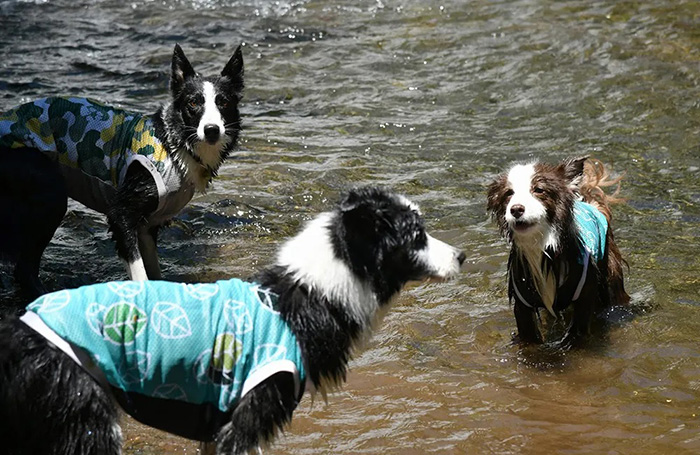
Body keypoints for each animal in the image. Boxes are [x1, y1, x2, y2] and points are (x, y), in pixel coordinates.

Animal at [0, 44, 243, 302]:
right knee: (24, 269)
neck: (173, 145)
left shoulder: (148, 226)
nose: (211, 130)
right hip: (49, 194)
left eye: (223, 103)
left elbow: (154, 273)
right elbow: (140, 274)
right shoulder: (121, 216)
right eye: (193, 104)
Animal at [1, 187, 470, 454]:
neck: (304, 297)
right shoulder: (246, 418)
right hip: (86, 418)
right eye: (416, 236)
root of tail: (19, 328)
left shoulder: (218, 424)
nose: (462, 255)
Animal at [486, 158, 628, 350]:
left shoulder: (585, 291)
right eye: (508, 193)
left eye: (539, 189)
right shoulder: (523, 302)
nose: (516, 209)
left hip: (611, 274)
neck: (541, 245)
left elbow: (578, 330)